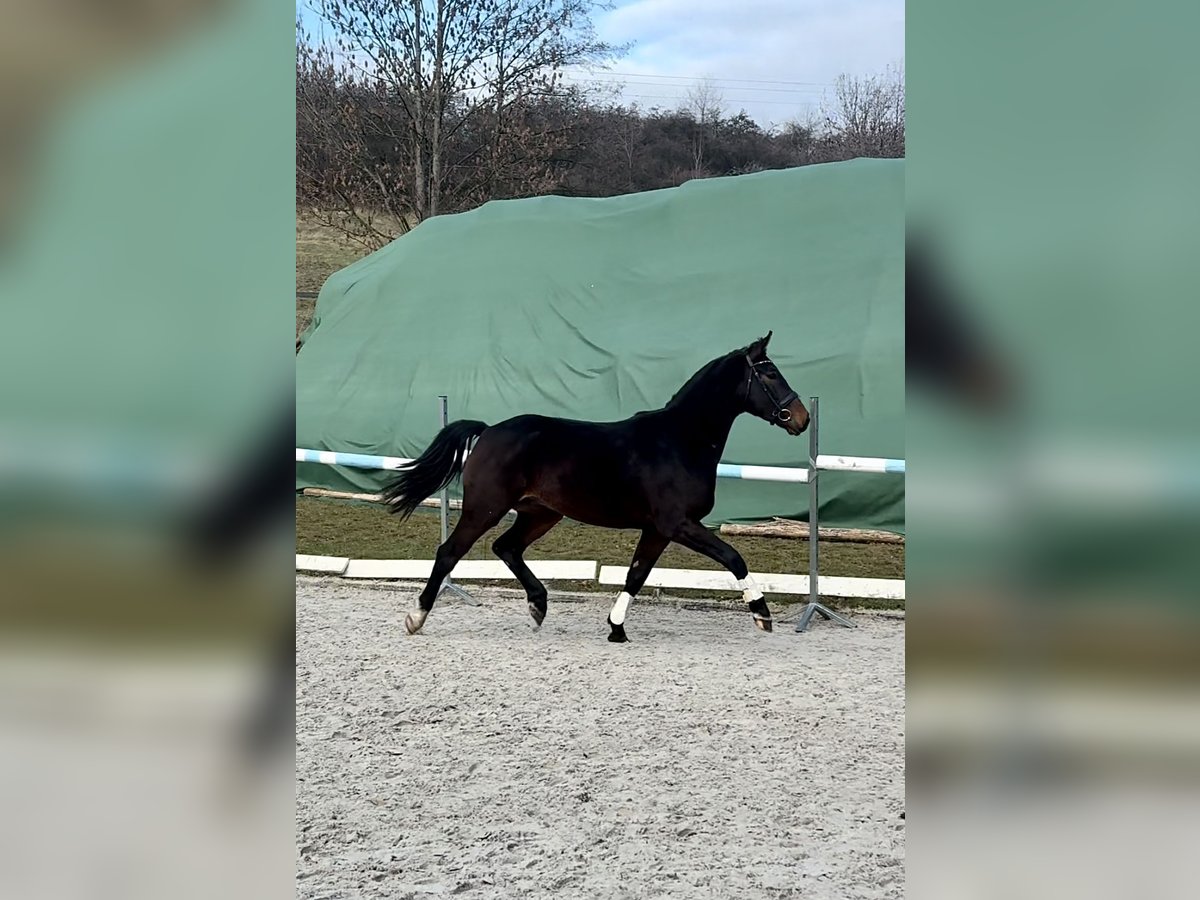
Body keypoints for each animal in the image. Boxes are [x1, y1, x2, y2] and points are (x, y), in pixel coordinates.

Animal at [382, 331, 810, 642]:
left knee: (506, 547)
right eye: (770, 374)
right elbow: (733, 558)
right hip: (484, 508)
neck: (681, 441)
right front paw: (761, 614)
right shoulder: (678, 524)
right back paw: (416, 616)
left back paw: (538, 606)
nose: (801, 418)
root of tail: (488, 431)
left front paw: (616, 628)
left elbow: (636, 575)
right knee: (449, 552)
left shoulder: (657, 529)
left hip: (540, 514)